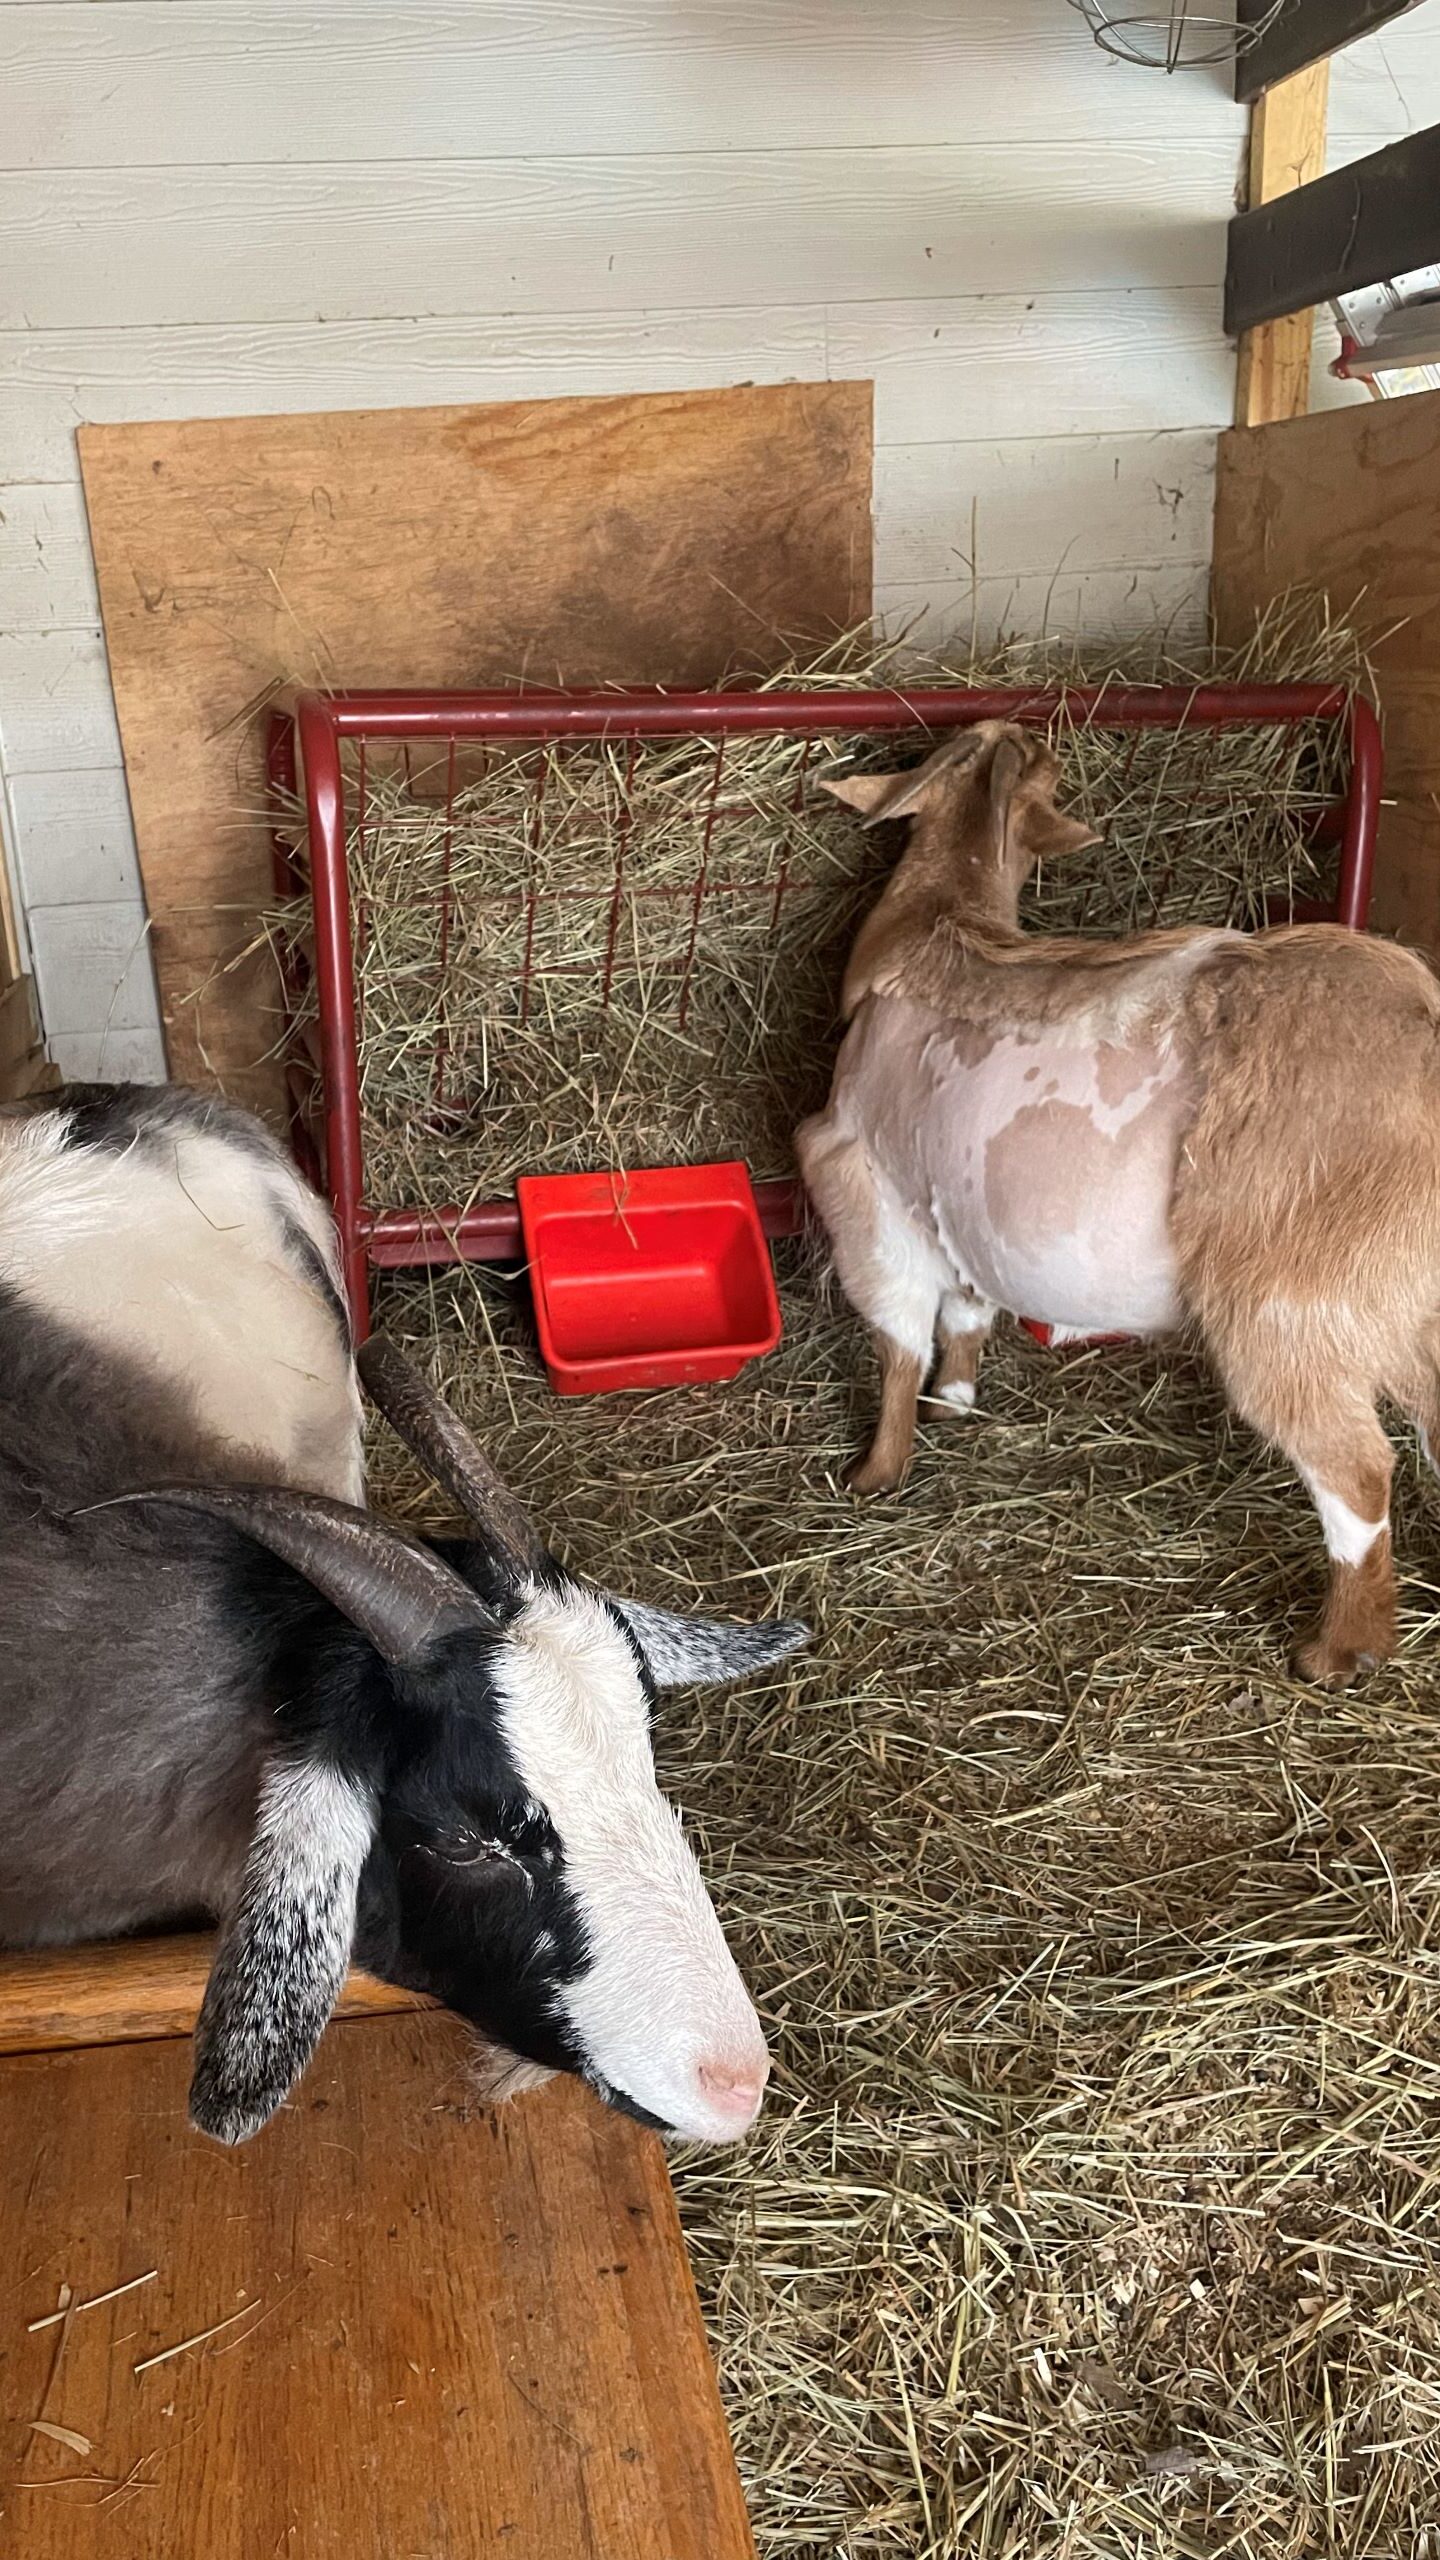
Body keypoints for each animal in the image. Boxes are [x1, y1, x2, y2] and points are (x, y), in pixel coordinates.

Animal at [789, 727, 1434, 1679]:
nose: (1031, 734)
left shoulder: (864, 1186)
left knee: (1354, 1471)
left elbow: (898, 1337)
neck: (941, 929)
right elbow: (966, 1312)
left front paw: (877, 1471)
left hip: (1288, 1305)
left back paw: (1334, 1651)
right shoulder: (958, 1205)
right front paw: (958, 1403)